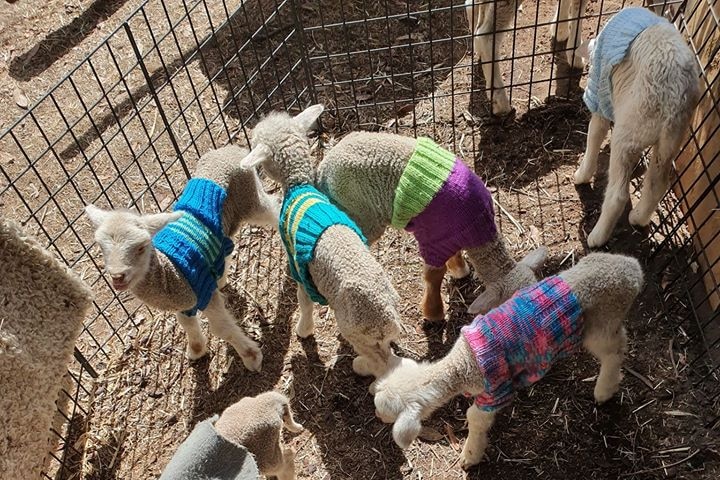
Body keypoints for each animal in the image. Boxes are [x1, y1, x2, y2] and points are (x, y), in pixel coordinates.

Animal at [82, 145, 278, 372]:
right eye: (100, 247)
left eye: (141, 247)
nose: (117, 276)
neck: (169, 271)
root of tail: (229, 149)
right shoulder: (185, 301)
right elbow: (187, 325)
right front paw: (196, 350)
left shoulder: (203, 291)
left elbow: (221, 328)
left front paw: (251, 357)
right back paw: (220, 278)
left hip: (251, 199)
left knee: (274, 208)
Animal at [240, 105, 404, 382]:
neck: (299, 185)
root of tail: (387, 316)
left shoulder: (299, 266)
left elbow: (304, 302)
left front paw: (303, 330)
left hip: (356, 330)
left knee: (383, 364)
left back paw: (361, 367)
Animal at [374, 253, 644, 470]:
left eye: (387, 412)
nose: (377, 417)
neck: (463, 363)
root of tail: (633, 269)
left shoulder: (495, 390)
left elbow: (475, 418)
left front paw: (470, 456)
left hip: (602, 322)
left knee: (615, 350)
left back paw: (604, 389)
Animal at [572, 7, 700, 248]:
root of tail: (676, 97)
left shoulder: (600, 95)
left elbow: (595, 134)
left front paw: (582, 174)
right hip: (670, 139)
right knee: (658, 183)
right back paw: (638, 218)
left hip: (630, 129)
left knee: (618, 195)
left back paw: (597, 237)